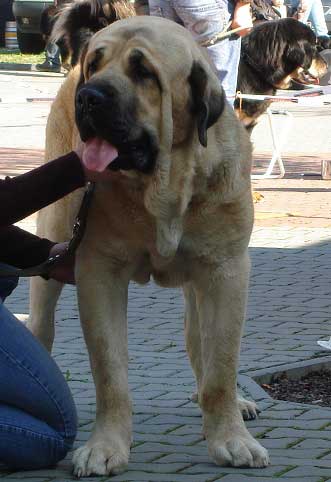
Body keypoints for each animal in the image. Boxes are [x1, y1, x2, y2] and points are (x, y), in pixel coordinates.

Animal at [29, 16, 270, 478]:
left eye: (143, 72)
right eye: (96, 63)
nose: (88, 96)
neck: (166, 184)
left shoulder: (227, 271)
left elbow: (221, 363)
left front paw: (231, 438)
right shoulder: (98, 272)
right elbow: (110, 372)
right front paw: (105, 447)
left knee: (199, 343)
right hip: (53, 241)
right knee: (41, 325)